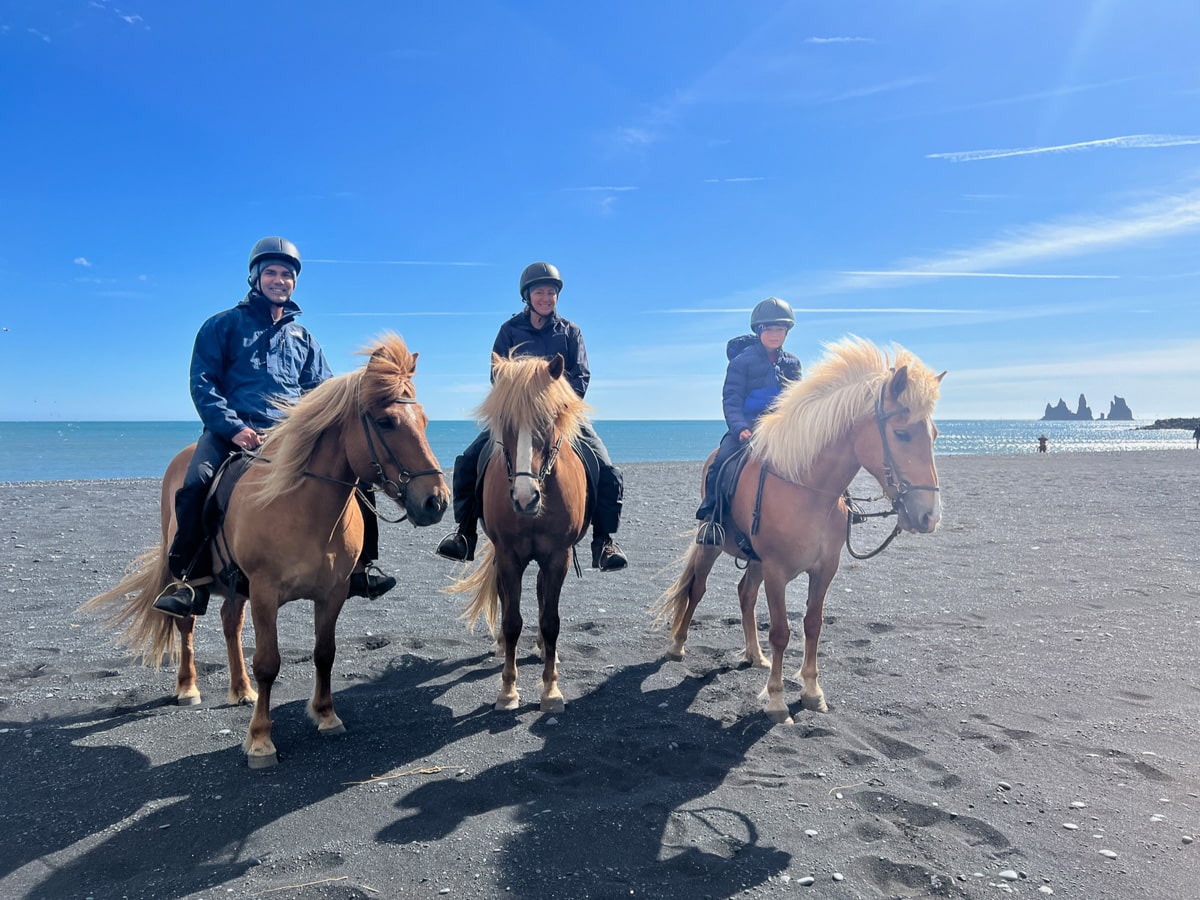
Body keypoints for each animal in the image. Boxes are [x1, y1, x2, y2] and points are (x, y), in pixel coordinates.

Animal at [82, 336, 451, 772]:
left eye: (424, 420)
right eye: (386, 422)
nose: (435, 502)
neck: (302, 506)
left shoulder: (333, 593)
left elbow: (324, 653)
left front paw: (326, 715)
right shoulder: (264, 593)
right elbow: (268, 663)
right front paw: (260, 741)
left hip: (236, 586)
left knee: (229, 623)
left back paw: (241, 689)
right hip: (193, 580)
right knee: (186, 624)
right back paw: (188, 688)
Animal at [441, 352, 590, 710]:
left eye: (548, 420)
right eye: (504, 422)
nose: (524, 498)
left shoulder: (558, 557)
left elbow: (551, 621)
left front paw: (551, 690)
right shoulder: (509, 555)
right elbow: (511, 621)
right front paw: (508, 690)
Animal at [652, 336, 940, 724]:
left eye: (934, 435)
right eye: (902, 433)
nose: (929, 515)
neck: (808, 491)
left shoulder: (824, 569)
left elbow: (812, 625)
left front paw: (812, 693)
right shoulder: (776, 571)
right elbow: (780, 631)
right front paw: (776, 700)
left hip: (755, 560)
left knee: (745, 593)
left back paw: (754, 655)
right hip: (713, 545)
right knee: (697, 589)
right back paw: (677, 646)